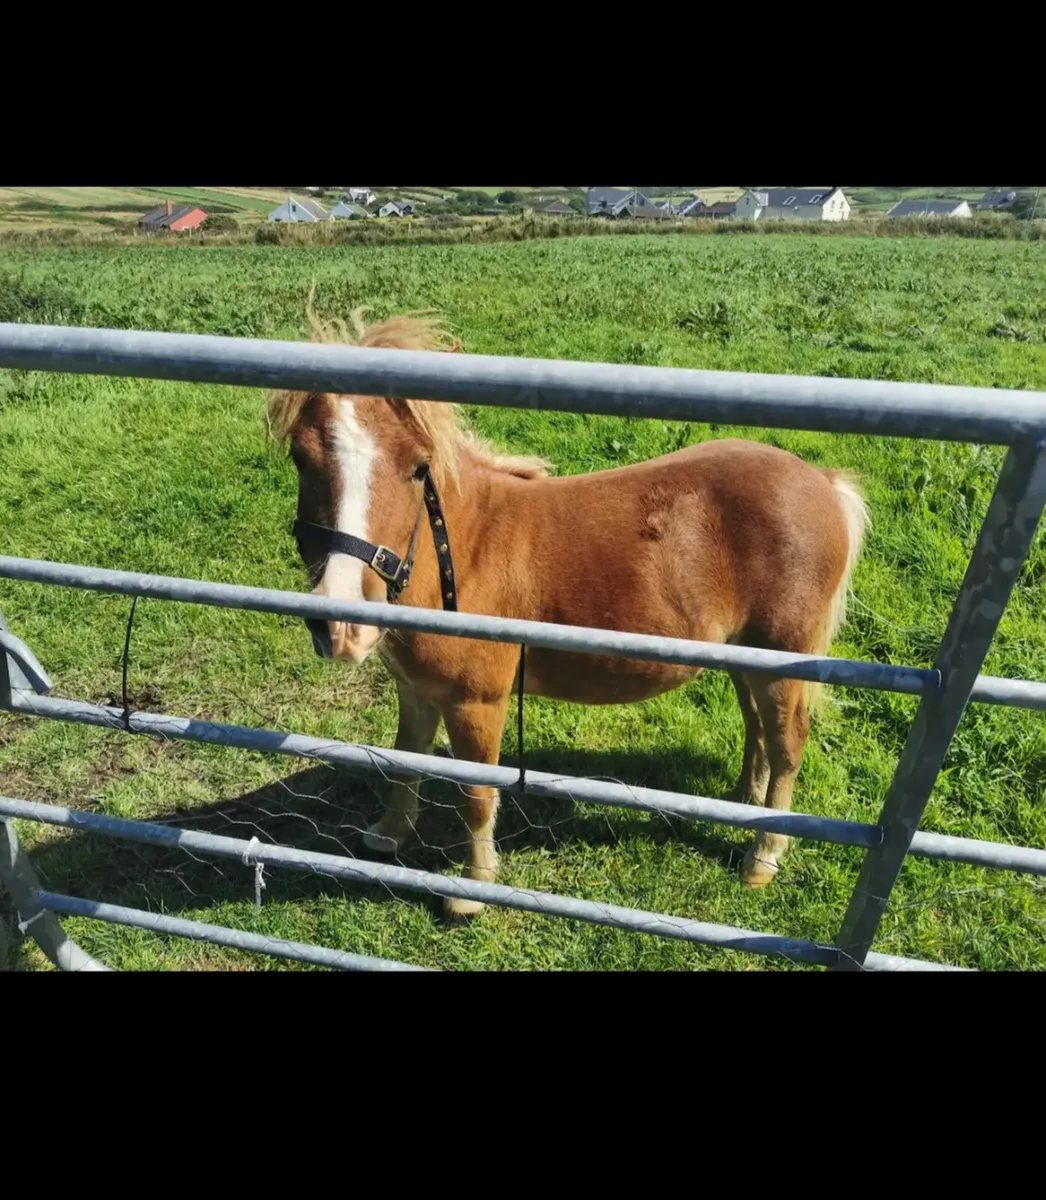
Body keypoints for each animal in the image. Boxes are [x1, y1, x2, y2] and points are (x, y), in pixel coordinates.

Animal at [267, 305, 870, 919]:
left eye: (418, 466)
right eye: (300, 457)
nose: (343, 626)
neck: (462, 550)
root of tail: (822, 482)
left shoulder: (476, 704)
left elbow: (476, 793)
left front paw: (472, 892)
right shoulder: (415, 690)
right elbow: (407, 760)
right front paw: (388, 836)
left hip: (782, 657)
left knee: (788, 740)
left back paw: (763, 856)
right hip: (746, 656)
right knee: (758, 727)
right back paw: (745, 802)